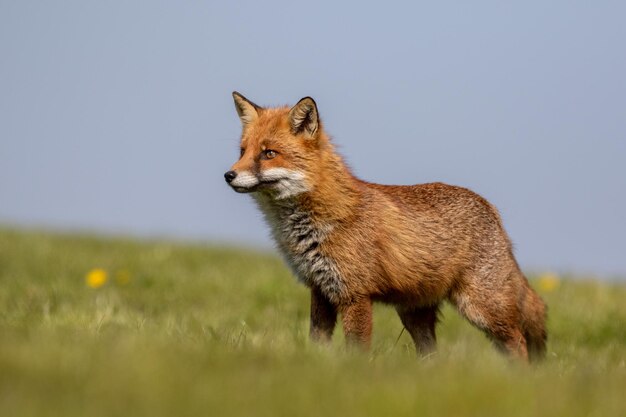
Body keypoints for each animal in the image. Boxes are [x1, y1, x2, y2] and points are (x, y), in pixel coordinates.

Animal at [224, 91, 544, 360]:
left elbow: (356, 349)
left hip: (481, 308)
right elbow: (317, 342)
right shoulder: (321, 290)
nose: (229, 175)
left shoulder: (355, 294)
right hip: (415, 314)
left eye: (268, 153)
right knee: (433, 355)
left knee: (519, 340)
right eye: (242, 151)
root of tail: (490, 207)